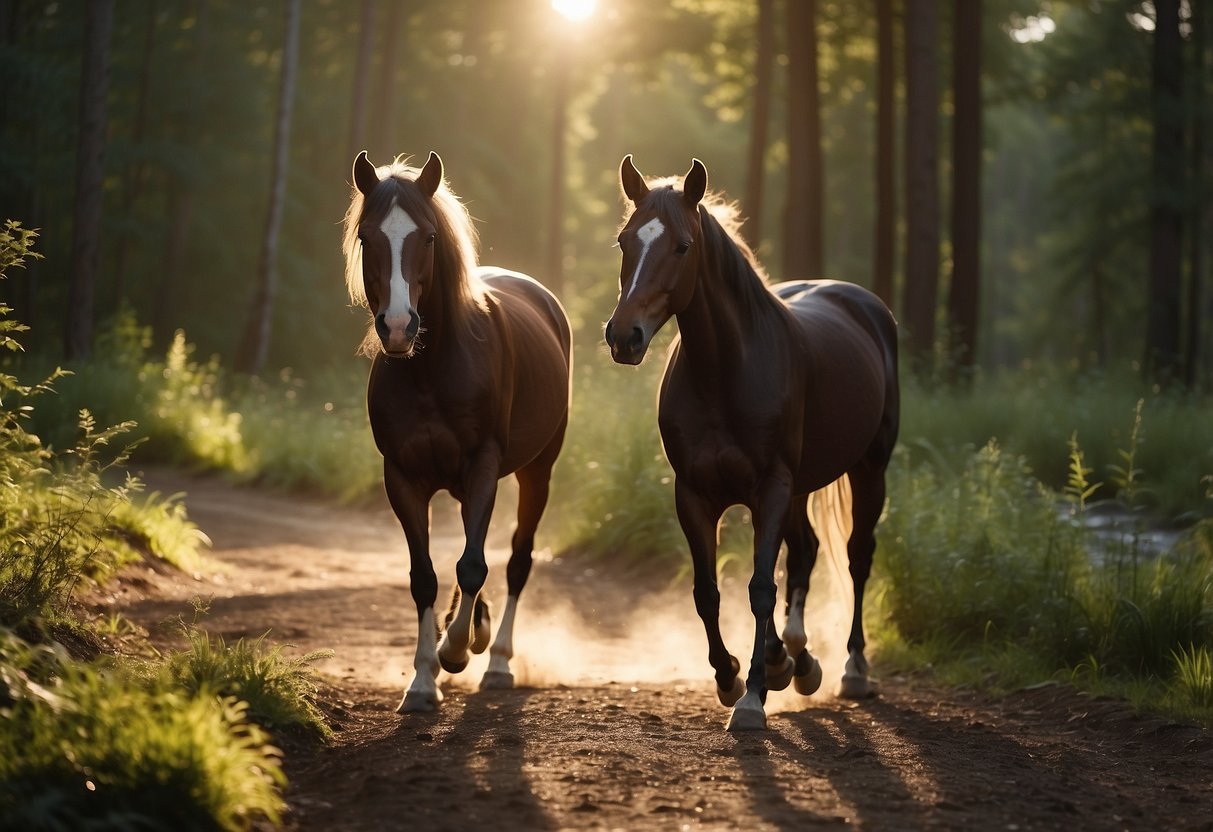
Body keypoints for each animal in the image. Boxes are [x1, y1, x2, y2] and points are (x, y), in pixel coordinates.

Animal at [339, 153, 570, 713]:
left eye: (427, 237)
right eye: (367, 238)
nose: (399, 327)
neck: (431, 369)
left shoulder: (483, 467)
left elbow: (473, 567)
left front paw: (456, 651)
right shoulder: (403, 478)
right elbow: (425, 575)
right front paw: (423, 679)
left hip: (537, 471)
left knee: (515, 561)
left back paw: (499, 660)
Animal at [601, 154, 897, 727]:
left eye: (682, 246)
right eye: (625, 241)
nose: (624, 336)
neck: (726, 373)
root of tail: (863, 304)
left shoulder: (771, 489)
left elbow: (761, 588)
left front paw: (754, 696)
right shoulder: (695, 495)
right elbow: (707, 593)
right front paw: (733, 675)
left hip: (868, 470)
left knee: (856, 557)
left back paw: (853, 670)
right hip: (803, 487)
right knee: (805, 553)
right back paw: (801, 660)